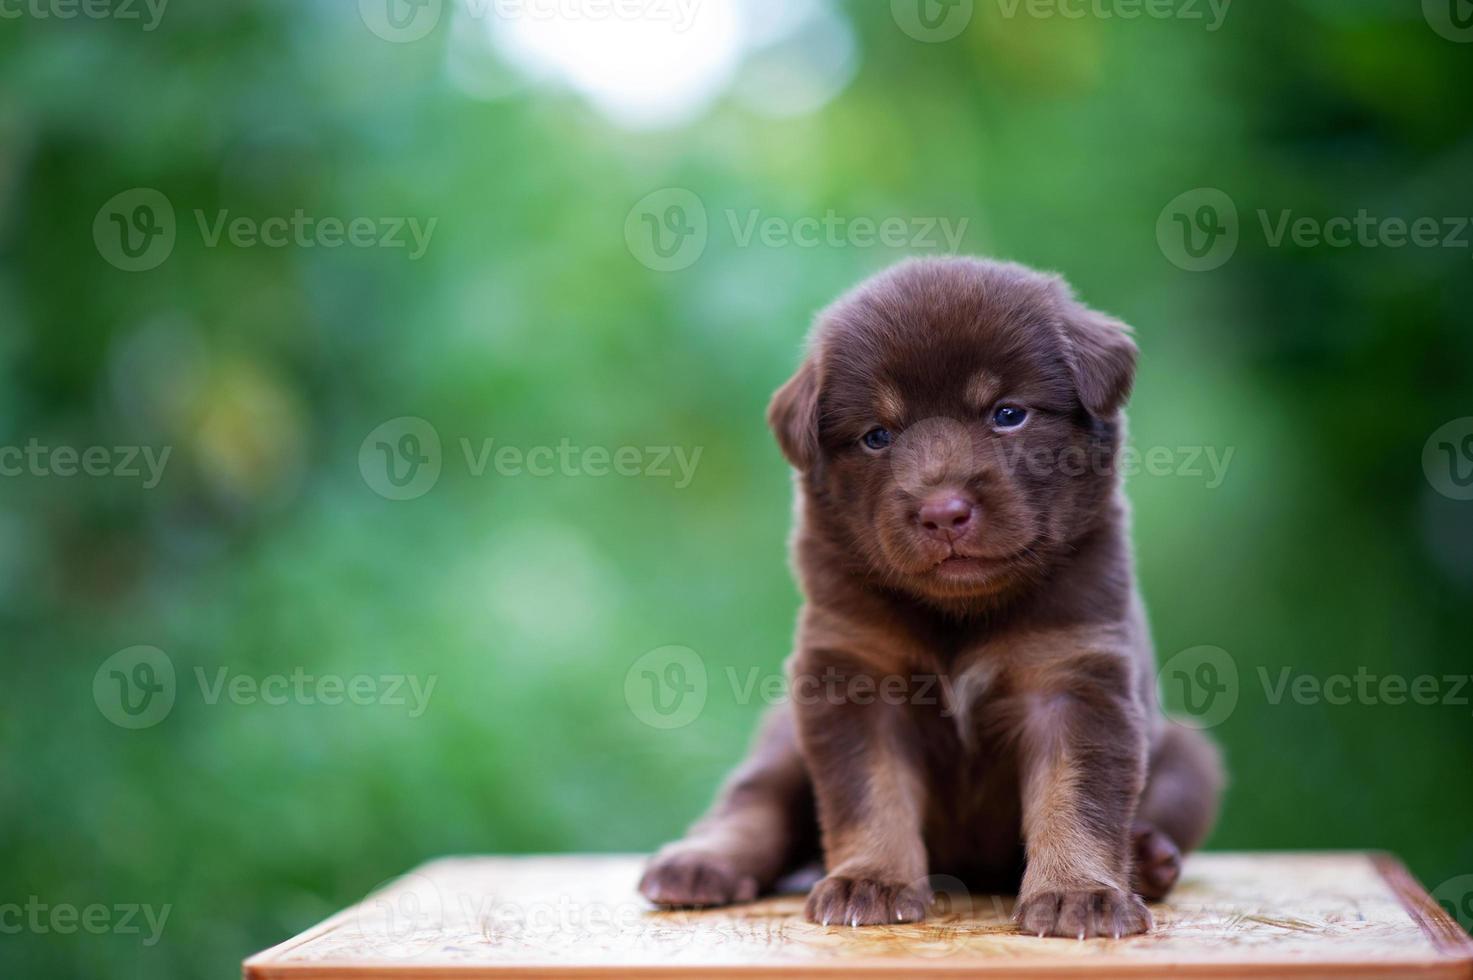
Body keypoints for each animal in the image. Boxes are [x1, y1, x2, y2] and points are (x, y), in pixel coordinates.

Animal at [639, 256, 1225, 937]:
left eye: (1008, 414)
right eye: (877, 436)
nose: (944, 512)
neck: (959, 615)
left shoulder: (1075, 674)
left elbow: (1076, 795)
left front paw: (1078, 894)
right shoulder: (852, 676)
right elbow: (870, 792)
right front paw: (869, 881)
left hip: (1190, 757)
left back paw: (1149, 859)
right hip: (784, 735)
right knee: (753, 799)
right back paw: (698, 864)